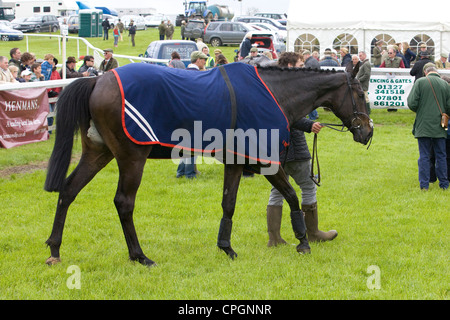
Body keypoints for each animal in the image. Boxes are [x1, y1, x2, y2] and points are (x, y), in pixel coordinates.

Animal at [43, 61, 372, 266]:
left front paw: (226, 247)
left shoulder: (236, 162)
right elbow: (291, 195)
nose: (367, 132)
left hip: (98, 152)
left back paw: (55, 248)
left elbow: (229, 203)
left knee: (68, 191)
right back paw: (139, 255)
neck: (274, 93)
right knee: (123, 202)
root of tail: (99, 78)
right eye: (360, 92)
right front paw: (303, 241)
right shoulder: (264, 160)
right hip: (131, 158)